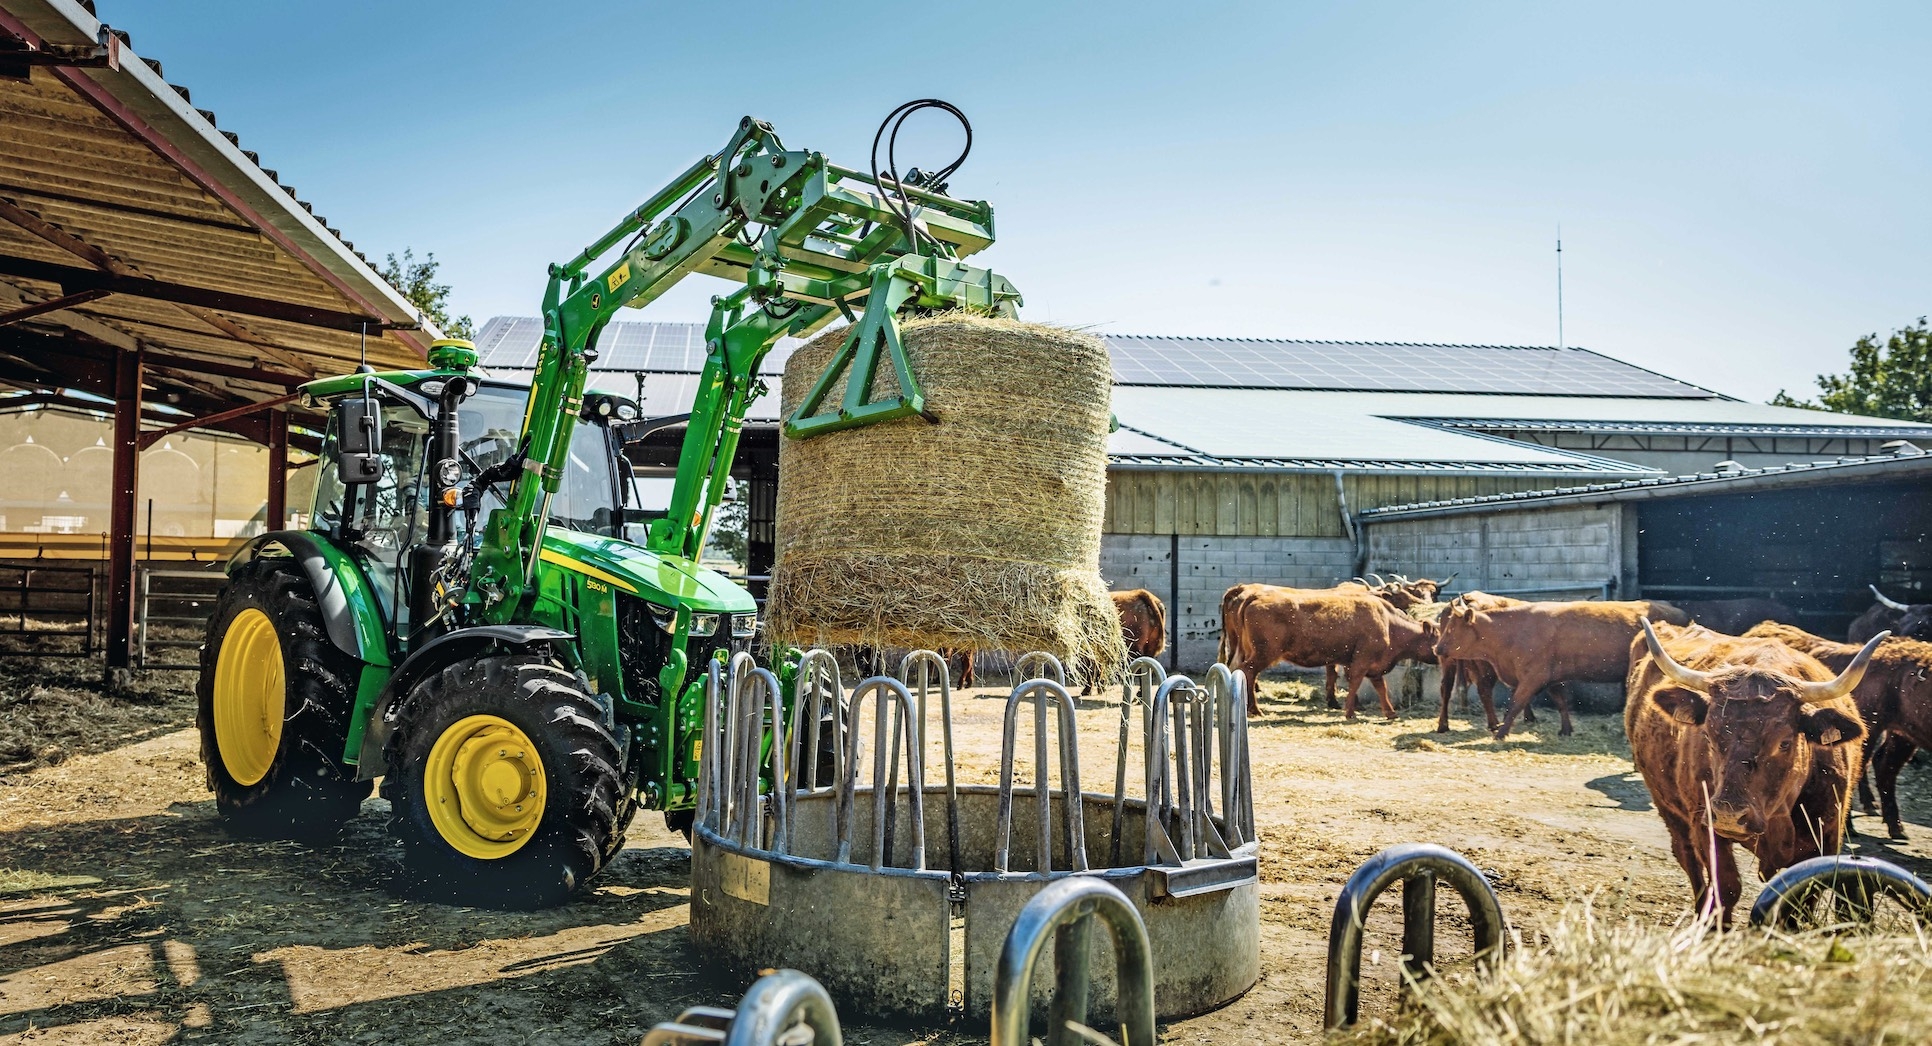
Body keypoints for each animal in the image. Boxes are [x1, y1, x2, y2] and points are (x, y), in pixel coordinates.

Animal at [1221, 583, 1437, 723]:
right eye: (1437, 637)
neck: (1388, 622)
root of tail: (1252, 594)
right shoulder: (1361, 662)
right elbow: (1355, 683)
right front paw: (1350, 712)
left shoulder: (1372, 666)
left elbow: (1380, 688)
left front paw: (1390, 713)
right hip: (1263, 654)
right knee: (1248, 672)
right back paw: (1255, 710)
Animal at [1437, 591, 1692, 738]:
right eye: (1445, 625)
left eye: (1451, 629)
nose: (1437, 648)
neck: (1513, 631)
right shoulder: (1551, 677)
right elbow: (1560, 702)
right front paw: (1566, 730)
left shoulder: (1533, 677)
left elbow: (1515, 704)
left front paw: (1500, 733)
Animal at [1622, 618, 1877, 920]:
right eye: (1708, 735)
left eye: (1784, 742)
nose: (1729, 815)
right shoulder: (1705, 824)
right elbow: (1726, 888)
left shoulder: (1826, 838)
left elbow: (1801, 904)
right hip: (1671, 812)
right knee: (1689, 860)